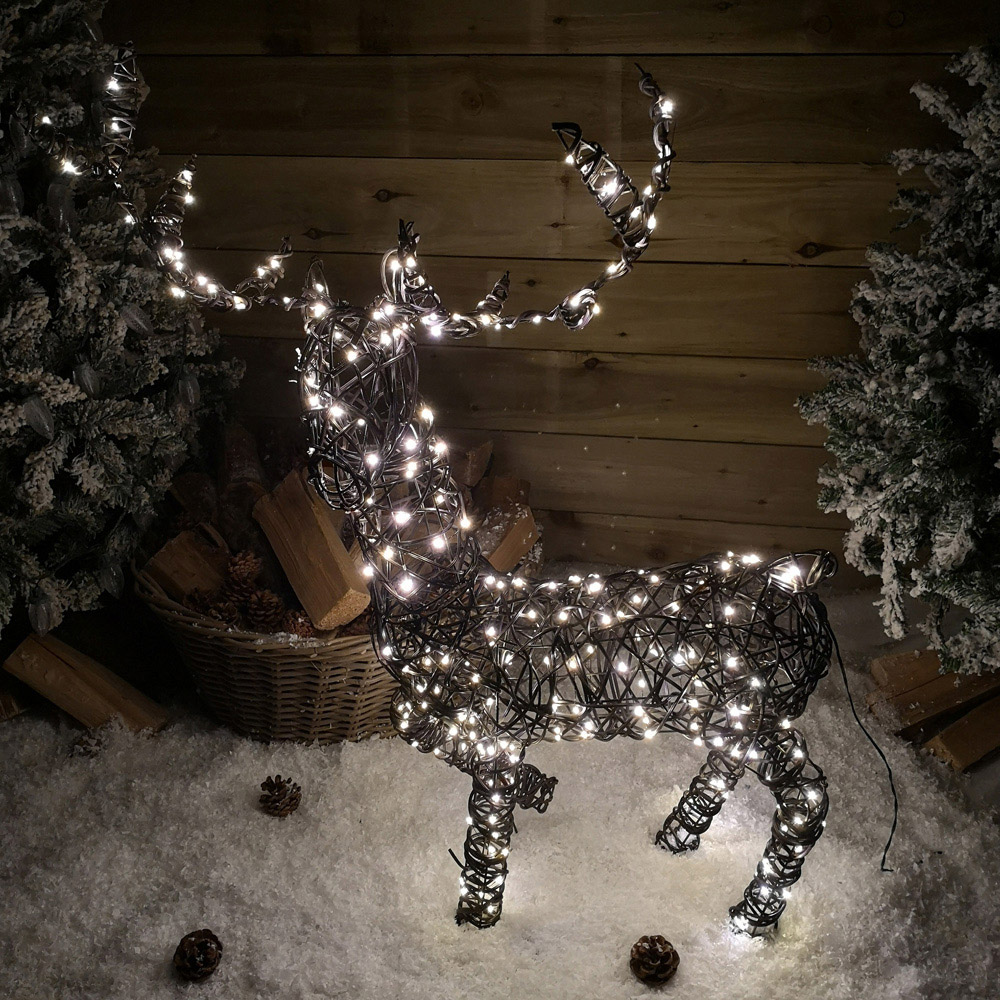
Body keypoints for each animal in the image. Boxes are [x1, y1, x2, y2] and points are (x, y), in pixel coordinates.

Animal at [80, 55, 838, 938]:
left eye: (383, 362)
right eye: (310, 361)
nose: (331, 459)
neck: (437, 596)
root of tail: (804, 580)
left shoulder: (486, 721)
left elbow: (482, 798)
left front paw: (478, 912)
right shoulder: (431, 710)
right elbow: (430, 737)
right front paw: (544, 794)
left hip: (760, 709)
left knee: (808, 797)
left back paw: (748, 914)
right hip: (735, 713)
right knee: (736, 767)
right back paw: (675, 837)